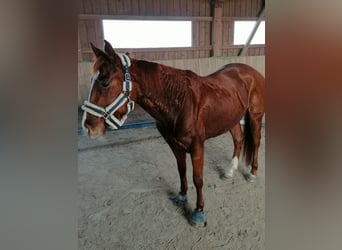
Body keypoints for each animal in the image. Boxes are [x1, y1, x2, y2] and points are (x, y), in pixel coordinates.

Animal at [82, 41, 264, 227]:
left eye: (105, 83)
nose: (89, 127)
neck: (180, 102)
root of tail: (251, 72)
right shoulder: (175, 144)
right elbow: (181, 170)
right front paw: (182, 196)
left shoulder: (197, 146)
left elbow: (198, 178)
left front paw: (198, 212)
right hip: (232, 119)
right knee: (239, 140)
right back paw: (229, 171)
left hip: (255, 116)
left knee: (256, 142)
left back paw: (252, 174)